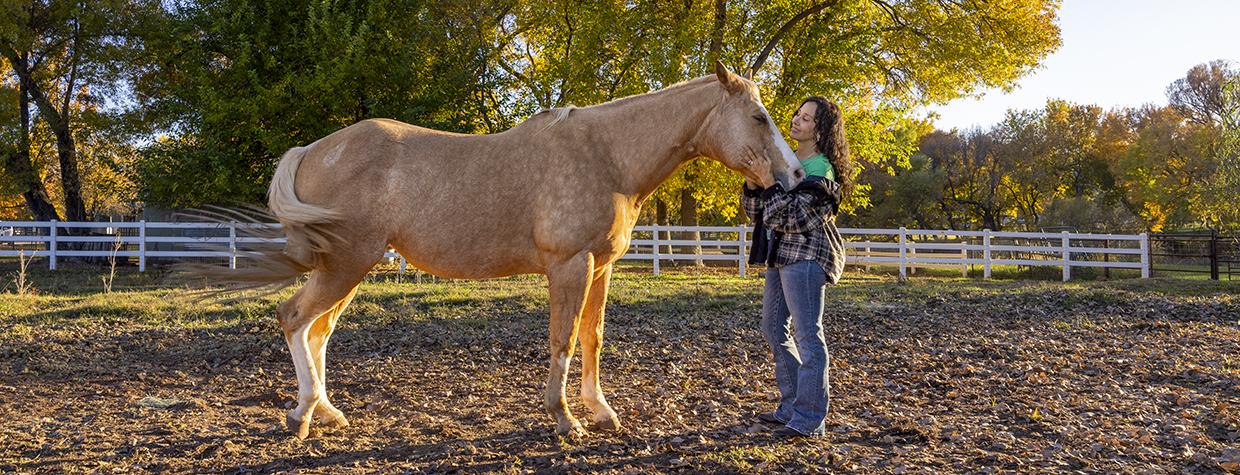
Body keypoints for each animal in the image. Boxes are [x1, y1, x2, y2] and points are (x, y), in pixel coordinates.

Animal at [209, 62, 804, 439]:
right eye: (758, 117)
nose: (796, 175)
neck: (607, 156)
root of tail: (313, 149)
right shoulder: (570, 266)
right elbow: (564, 340)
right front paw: (564, 419)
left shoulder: (601, 268)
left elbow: (593, 338)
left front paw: (600, 411)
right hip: (346, 264)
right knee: (294, 318)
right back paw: (303, 416)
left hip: (352, 267)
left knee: (317, 331)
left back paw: (326, 411)